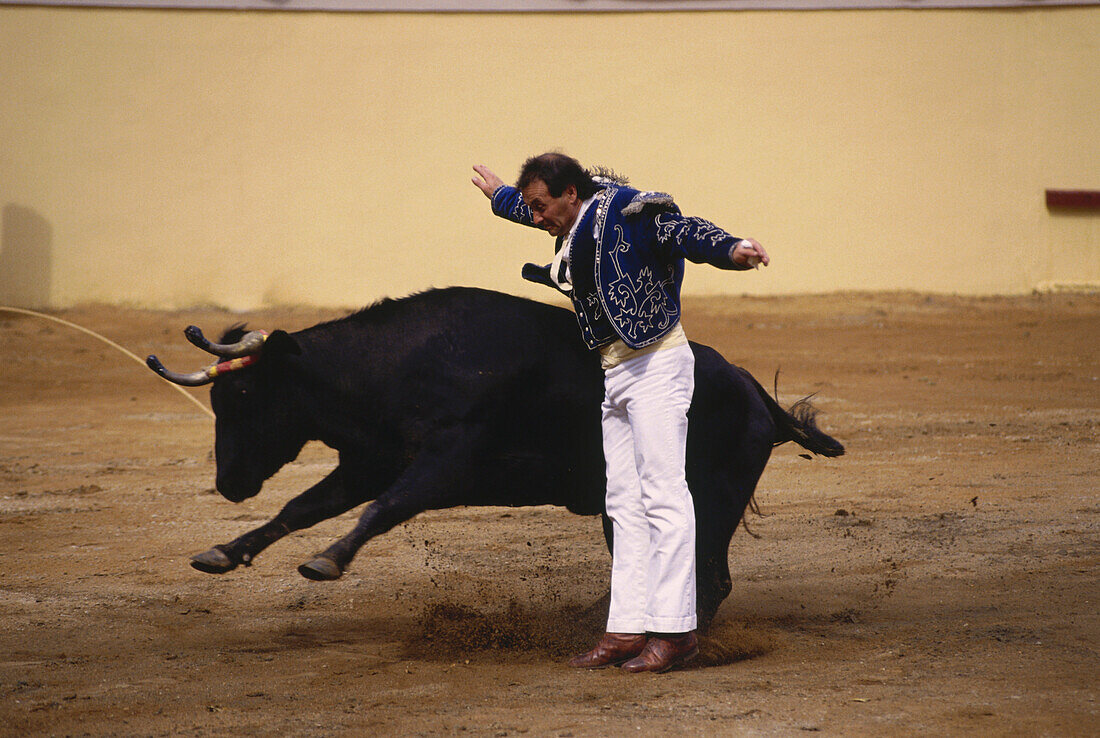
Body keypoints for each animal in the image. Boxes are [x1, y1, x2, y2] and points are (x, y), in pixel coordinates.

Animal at [148, 288, 840, 629]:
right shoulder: (368, 461)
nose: (229, 482)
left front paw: (326, 562)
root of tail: (752, 388)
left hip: (712, 499)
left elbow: (383, 508)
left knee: (711, 578)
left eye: (242, 394)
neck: (393, 366)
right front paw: (223, 552)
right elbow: (301, 505)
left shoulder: (447, 459)